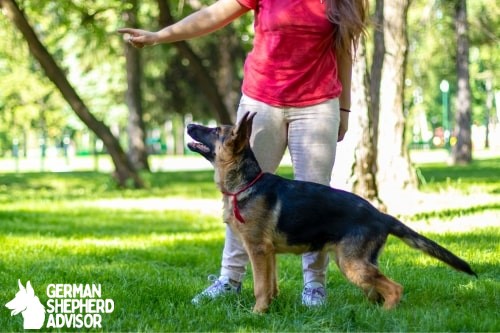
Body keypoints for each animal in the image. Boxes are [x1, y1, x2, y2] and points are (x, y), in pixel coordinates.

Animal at [188, 113, 476, 312]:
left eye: (215, 130)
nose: (189, 125)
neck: (247, 183)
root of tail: (381, 216)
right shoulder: (269, 254)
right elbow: (270, 285)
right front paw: (269, 309)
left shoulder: (257, 250)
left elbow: (260, 287)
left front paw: (257, 314)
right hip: (355, 263)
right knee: (377, 290)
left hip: (351, 264)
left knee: (395, 288)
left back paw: (385, 315)